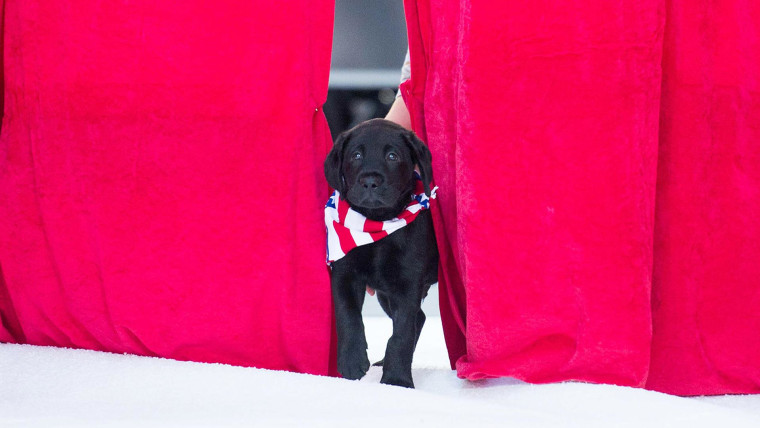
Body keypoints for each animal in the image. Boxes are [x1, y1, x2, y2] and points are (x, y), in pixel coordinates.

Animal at [322, 118, 440, 388]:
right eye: (355, 155)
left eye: (392, 156)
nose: (370, 182)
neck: (378, 224)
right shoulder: (344, 273)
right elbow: (348, 316)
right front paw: (352, 363)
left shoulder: (407, 284)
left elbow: (402, 333)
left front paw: (397, 380)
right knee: (420, 317)